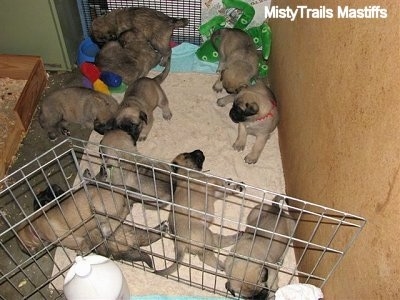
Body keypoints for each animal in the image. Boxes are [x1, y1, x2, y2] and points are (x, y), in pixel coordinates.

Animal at [0, 138, 366, 298]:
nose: (201, 152)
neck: (187, 176)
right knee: (219, 252)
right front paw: (235, 184)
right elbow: (223, 187)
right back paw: (232, 250)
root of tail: (179, 245)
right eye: (191, 155)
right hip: (208, 239)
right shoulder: (213, 188)